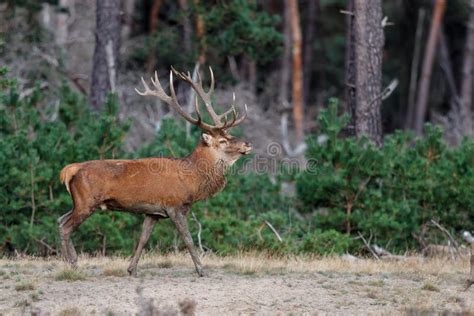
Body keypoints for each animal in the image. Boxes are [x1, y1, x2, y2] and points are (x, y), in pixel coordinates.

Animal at [58, 67, 252, 276]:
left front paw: (132, 269)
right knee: (66, 227)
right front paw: (201, 270)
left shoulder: (154, 212)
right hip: (86, 201)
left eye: (230, 135)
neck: (193, 181)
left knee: (60, 220)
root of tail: (70, 170)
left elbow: (143, 239)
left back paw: (72, 261)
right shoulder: (174, 206)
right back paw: (71, 264)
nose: (247, 144)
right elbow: (188, 239)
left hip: (79, 202)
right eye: (223, 141)